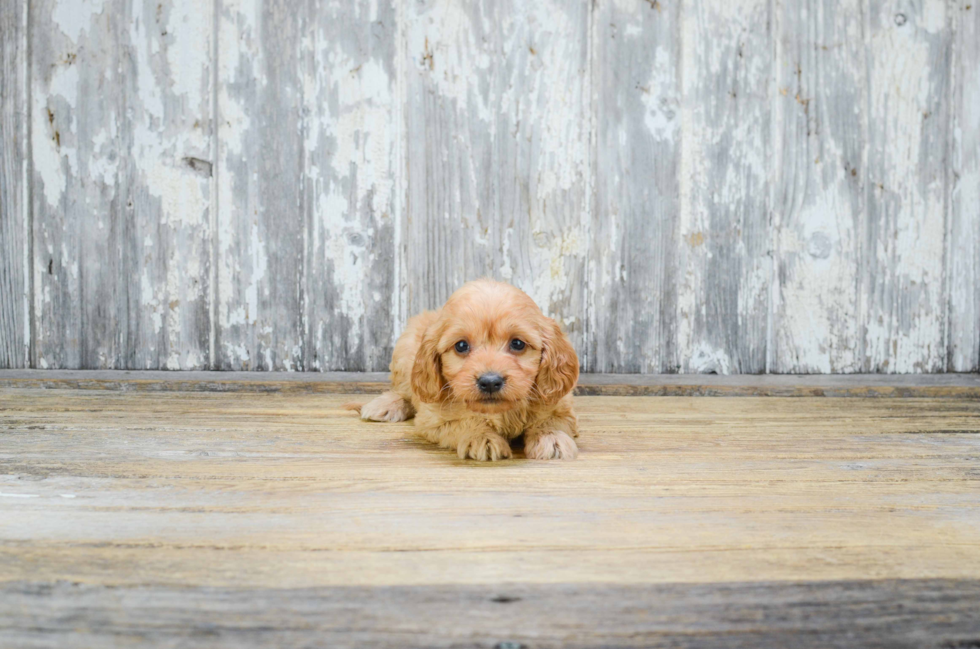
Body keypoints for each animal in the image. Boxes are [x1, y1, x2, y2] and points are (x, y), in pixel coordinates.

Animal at [354, 278, 580, 460]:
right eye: (461, 346)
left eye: (517, 344)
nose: (490, 382)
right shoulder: (433, 420)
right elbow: (465, 422)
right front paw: (482, 438)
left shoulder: (561, 406)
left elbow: (551, 420)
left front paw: (552, 438)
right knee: (404, 391)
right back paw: (385, 405)